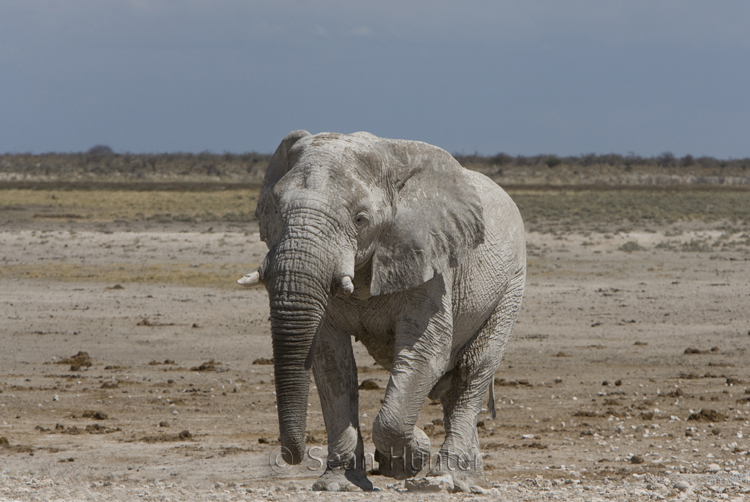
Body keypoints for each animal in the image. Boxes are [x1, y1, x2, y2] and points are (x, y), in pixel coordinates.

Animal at [239, 130, 526, 492]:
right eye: (275, 209)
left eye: (361, 219)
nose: (291, 455)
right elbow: (330, 361)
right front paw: (337, 484)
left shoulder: (429, 264)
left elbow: (426, 353)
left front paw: (409, 458)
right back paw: (468, 474)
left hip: (511, 285)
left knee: (473, 371)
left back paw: (450, 478)